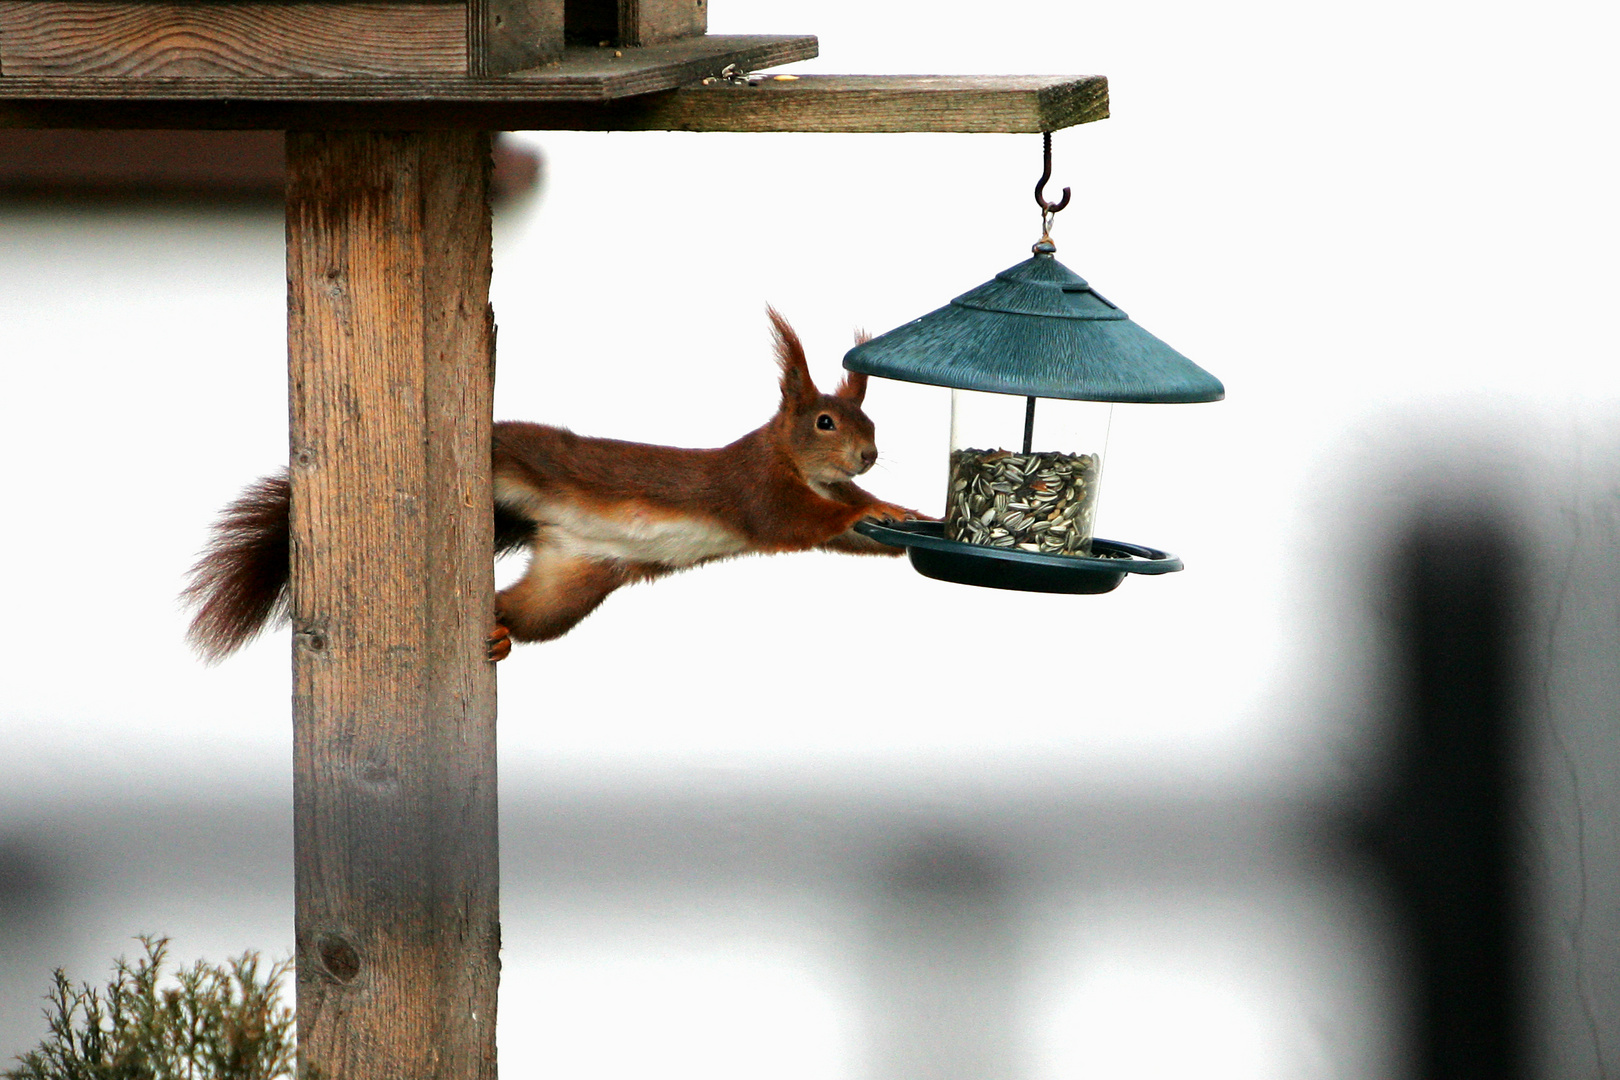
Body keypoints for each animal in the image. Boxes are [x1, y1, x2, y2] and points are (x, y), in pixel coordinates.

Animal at [182, 307, 920, 663]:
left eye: (870, 420)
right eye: (825, 421)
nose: (870, 455)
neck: (803, 470)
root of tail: (553, 529)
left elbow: (858, 528)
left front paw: (902, 512)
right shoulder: (758, 490)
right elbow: (797, 523)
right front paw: (874, 508)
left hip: (571, 583)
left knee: (525, 609)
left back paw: (500, 631)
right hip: (519, 463)